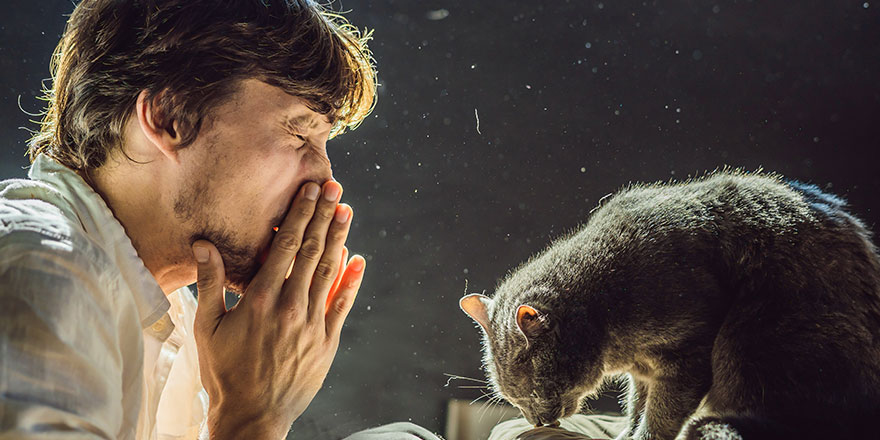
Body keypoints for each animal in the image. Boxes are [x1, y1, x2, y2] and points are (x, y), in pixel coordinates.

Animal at [460, 171, 880, 440]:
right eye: (512, 400)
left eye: (534, 392)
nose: (540, 421)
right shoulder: (645, 373)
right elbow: (636, 407)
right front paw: (626, 433)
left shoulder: (686, 356)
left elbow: (661, 415)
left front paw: (642, 436)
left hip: (750, 341)